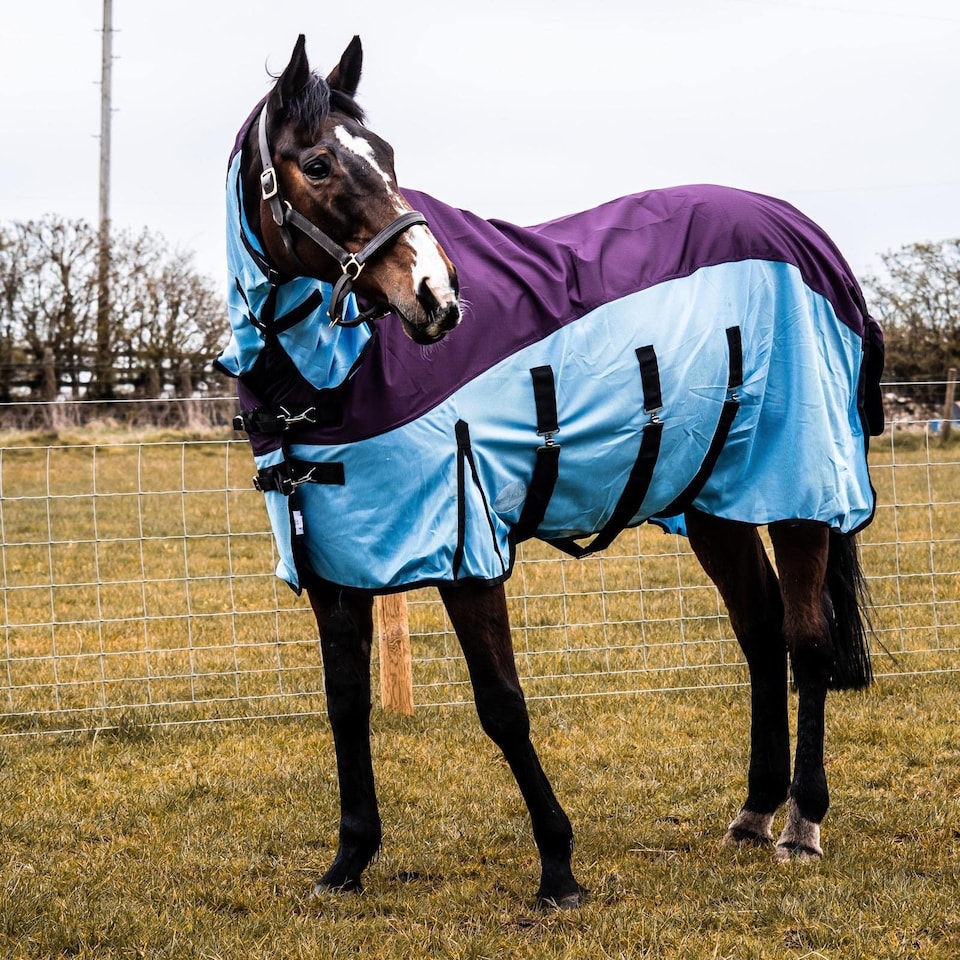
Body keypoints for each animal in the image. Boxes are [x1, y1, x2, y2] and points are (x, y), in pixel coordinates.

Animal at [218, 35, 884, 909]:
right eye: (321, 162)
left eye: (388, 156)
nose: (437, 295)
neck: (339, 375)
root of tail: (808, 237)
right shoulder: (337, 561)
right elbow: (345, 704)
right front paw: (349, 859)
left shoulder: (467, 549)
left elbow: (502, 706)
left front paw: (558, 867)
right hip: (717, 503)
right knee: (760, 630)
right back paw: (754, 811)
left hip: (801, 488)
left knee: (806, 643)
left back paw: (803, 823)